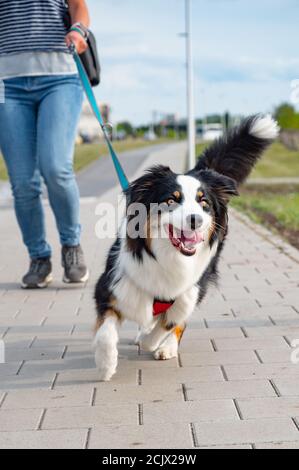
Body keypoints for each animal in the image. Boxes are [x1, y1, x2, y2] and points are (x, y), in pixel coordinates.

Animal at [93, 114, 278, 382]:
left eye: (204, 203)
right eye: (171, 200)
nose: (195, 220)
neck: (168, 258)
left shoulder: (190, 290)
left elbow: (169, 323)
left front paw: (154, 341)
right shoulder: (112, 285)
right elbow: (106, 333)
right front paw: (105, 365)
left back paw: (166, 346)